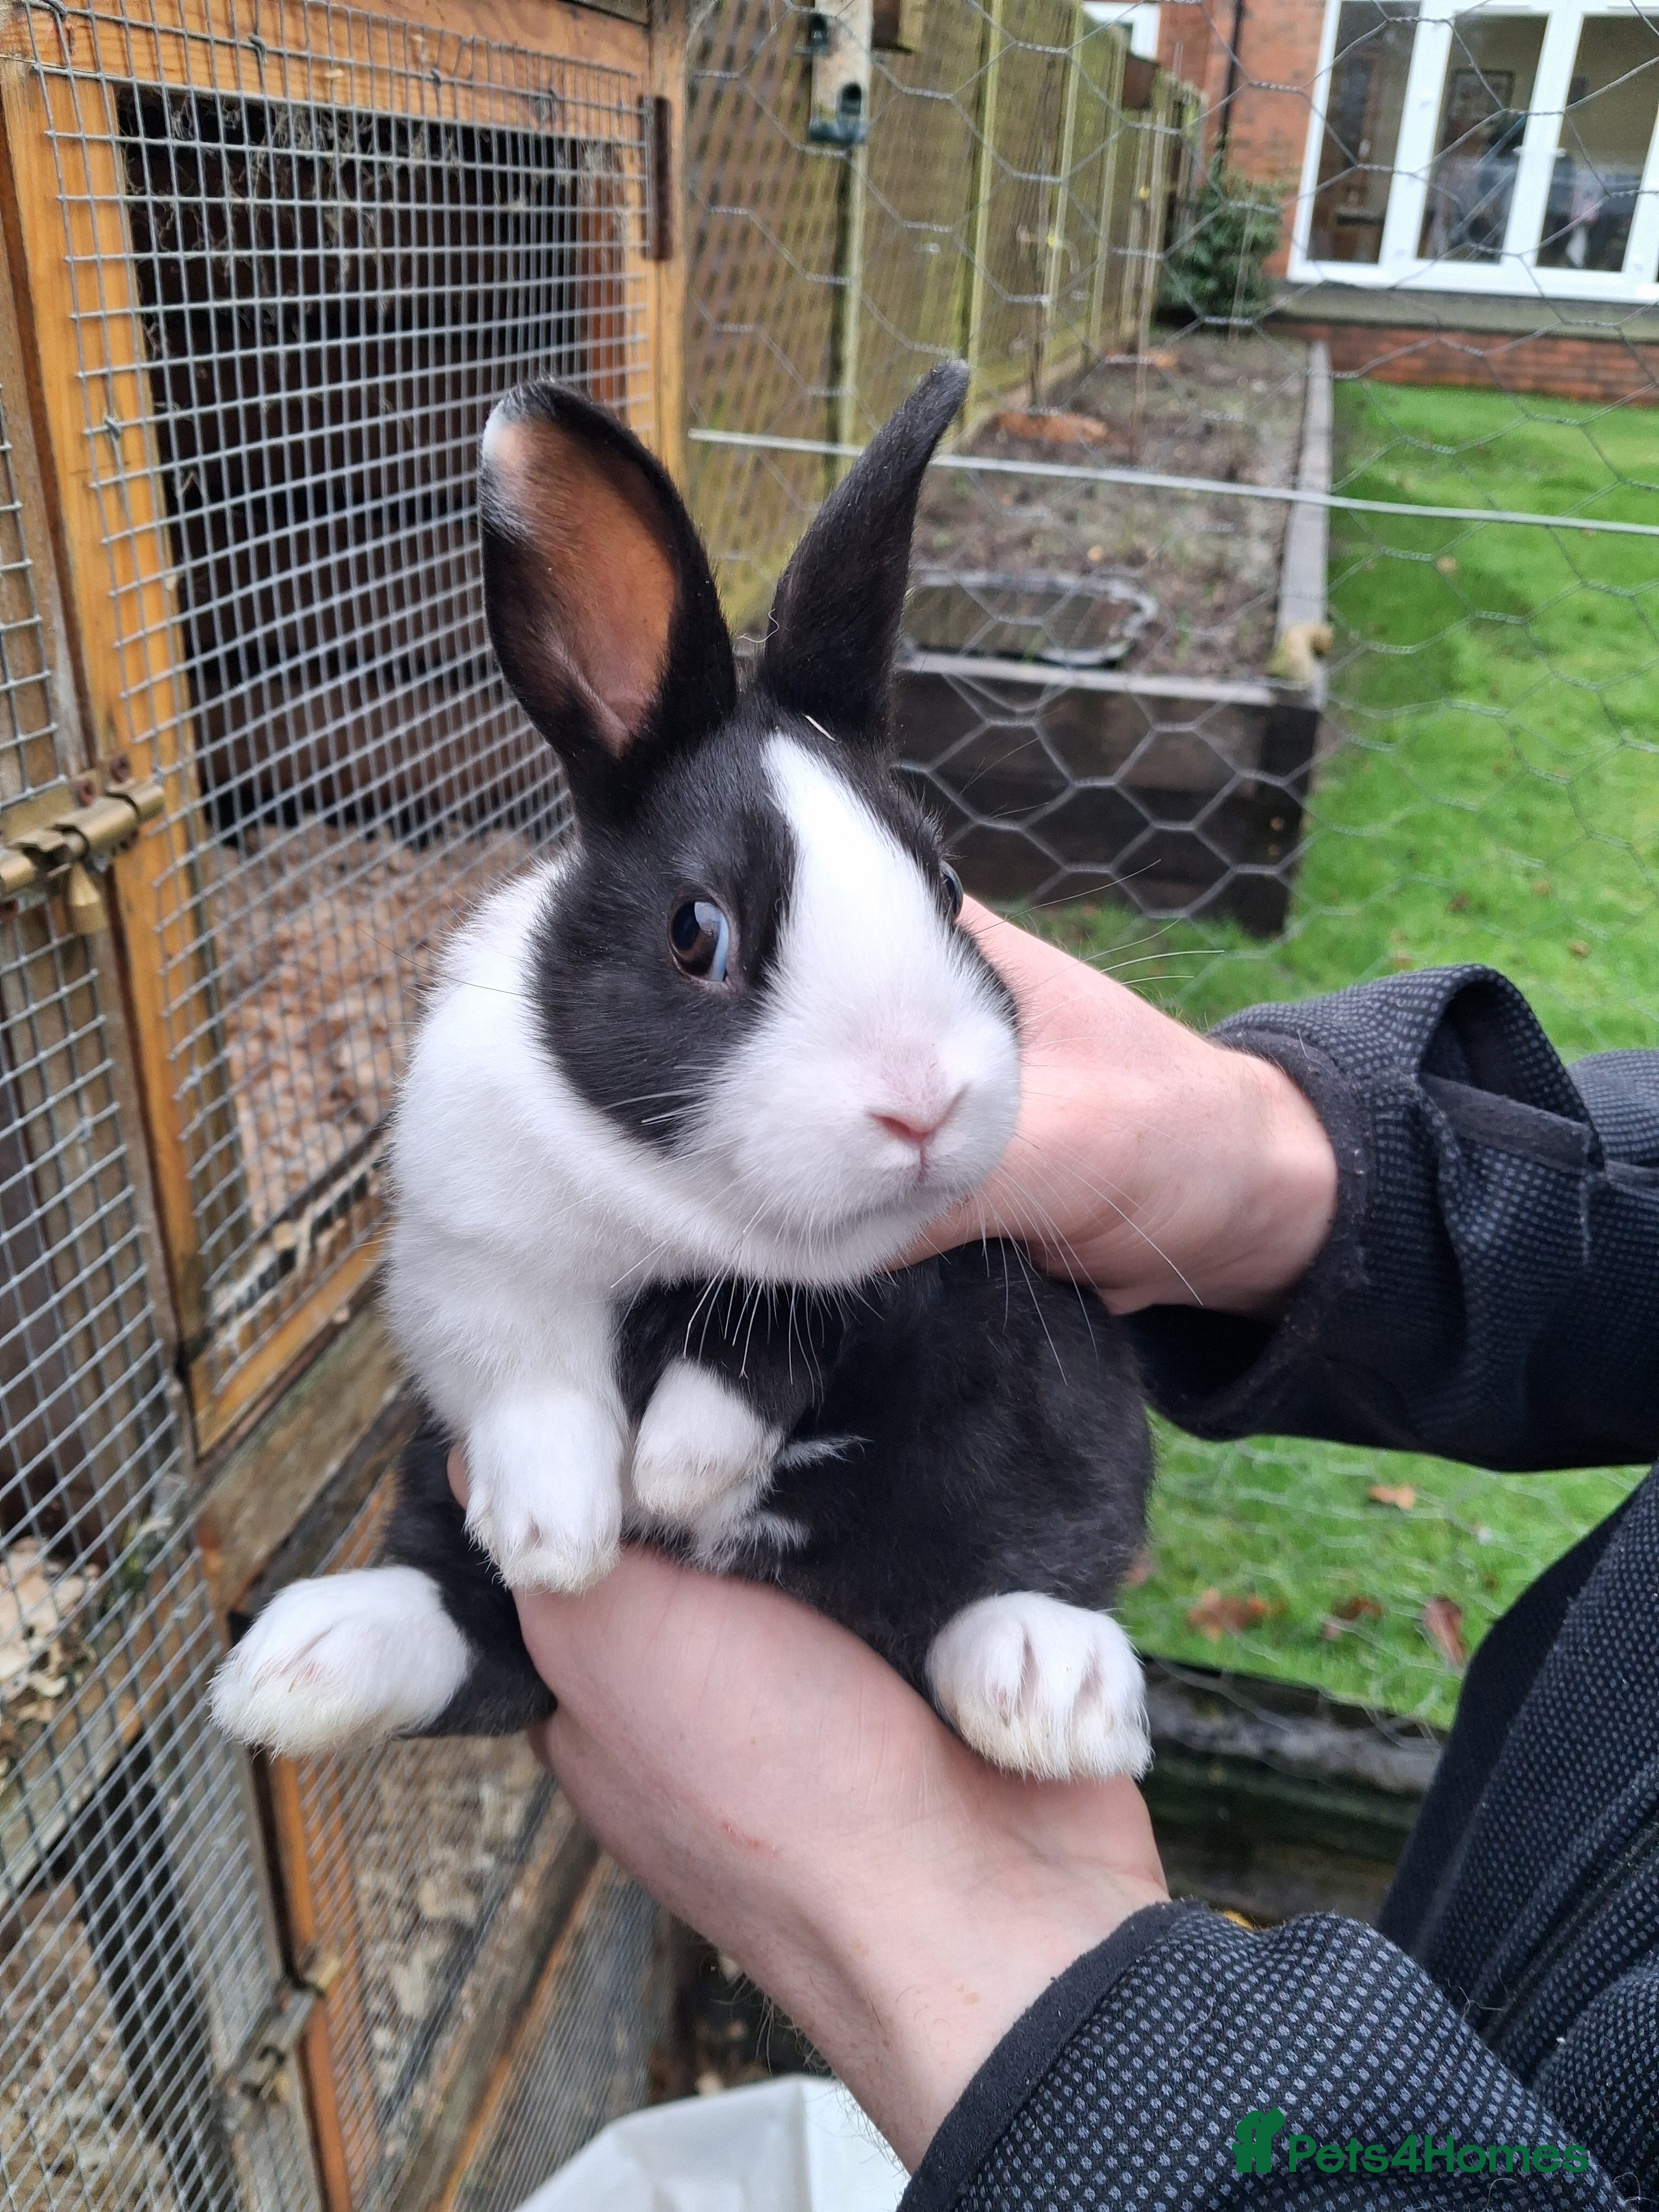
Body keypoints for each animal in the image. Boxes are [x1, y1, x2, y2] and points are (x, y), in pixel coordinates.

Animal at [212, 362, 1154, 1783]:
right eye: (696, 930)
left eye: (947, 887)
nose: (924, 1105)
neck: (673, 1207)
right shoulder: (456, 1249)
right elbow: (520, 1354)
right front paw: (559, 1527)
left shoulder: (907, 1278)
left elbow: (788, 1328)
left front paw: (677, 1471)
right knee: (473, 1632)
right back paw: (296, 1669)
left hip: (1060, 1431)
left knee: (991, 1587)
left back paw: (1053, 1688)